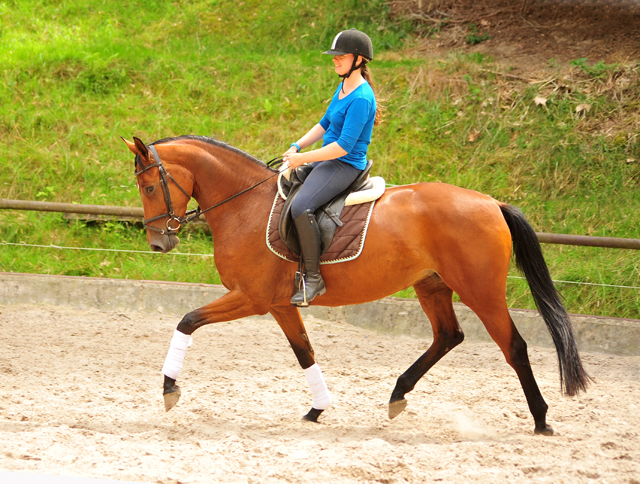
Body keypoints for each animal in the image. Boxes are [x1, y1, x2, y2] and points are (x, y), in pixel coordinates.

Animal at [122, 135, 592, 434]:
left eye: (149, 186)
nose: (159, 242)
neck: (245, 205)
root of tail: (492, 203)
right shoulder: (280, 304)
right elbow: (305, 353)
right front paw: (317, 408)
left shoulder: (252, 298)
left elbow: (186, 320)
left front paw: (169, 388)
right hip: (432, 286)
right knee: (448, 335)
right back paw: (398, 394)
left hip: (481, 290)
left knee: (513, 346)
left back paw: (541, 419)